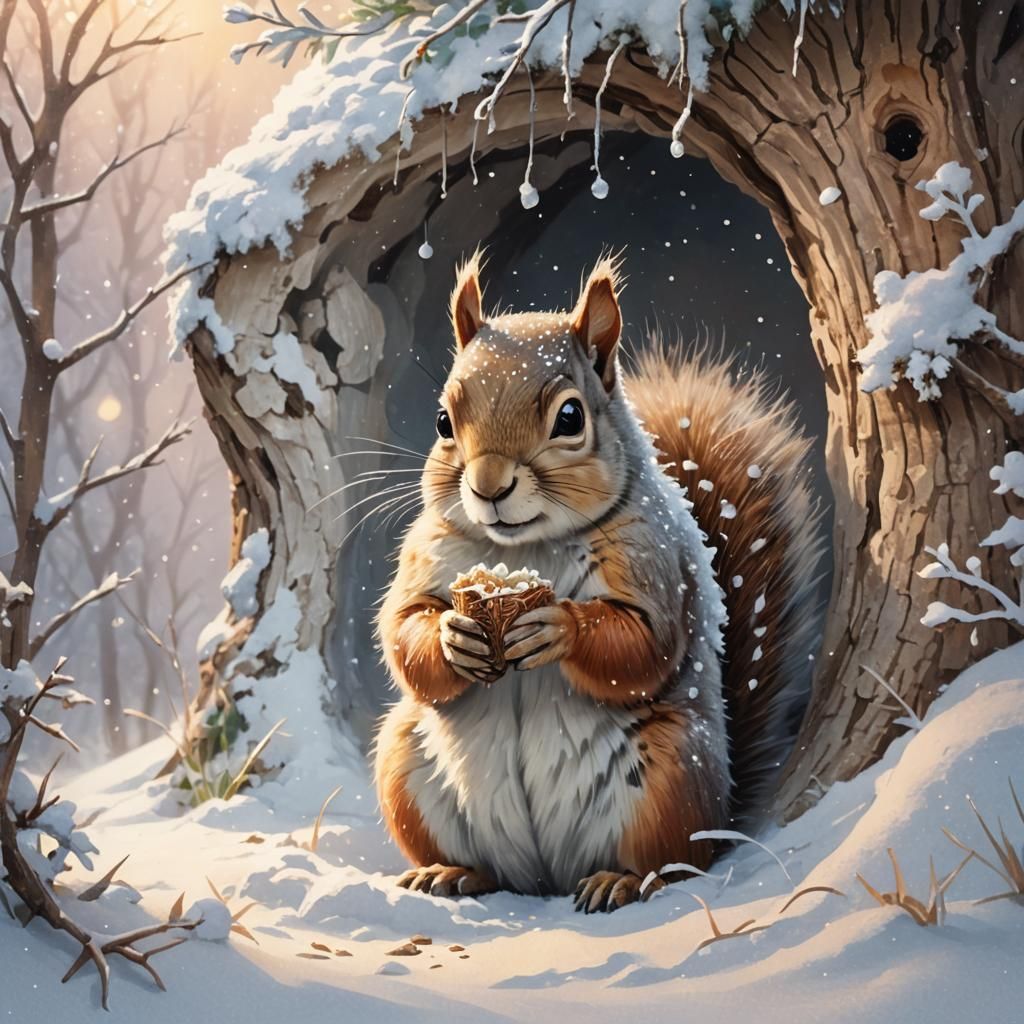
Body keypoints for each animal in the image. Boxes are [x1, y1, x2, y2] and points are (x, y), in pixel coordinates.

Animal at [374, 253, 823, 912]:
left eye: (570, 417)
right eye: (442, 420)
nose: (488, 486)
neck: (525, 546)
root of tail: (546, 878)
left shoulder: (650, 558)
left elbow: (642, 644)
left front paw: (557, 626)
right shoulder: (424, 553)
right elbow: (404, 629)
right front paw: (455, 636)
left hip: (670, 776)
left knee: (676, 863)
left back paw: (622, 880)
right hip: (405, 764)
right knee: (483, 864)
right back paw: (450, 873)